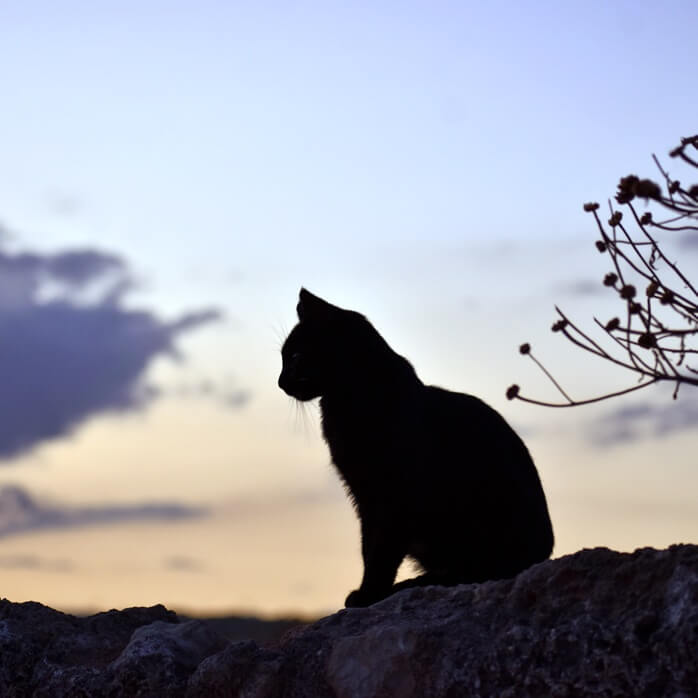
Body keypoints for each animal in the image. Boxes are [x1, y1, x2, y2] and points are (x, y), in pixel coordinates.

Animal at [274, 286, 552, 604]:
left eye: (295, 356)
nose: (280, 382)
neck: (349, 400)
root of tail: (543, 554)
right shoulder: (363, 496)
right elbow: (367, 547)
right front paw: (368, 592)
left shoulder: (393, 496)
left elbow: (381, 551)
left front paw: (369, 594)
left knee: (475, 570)